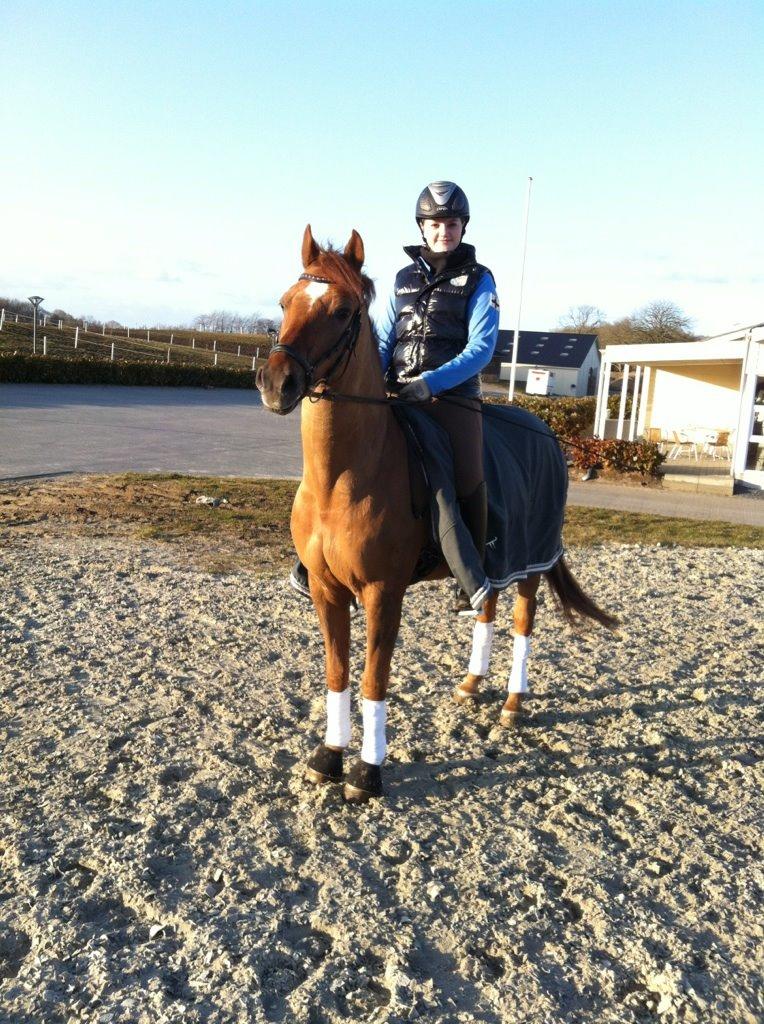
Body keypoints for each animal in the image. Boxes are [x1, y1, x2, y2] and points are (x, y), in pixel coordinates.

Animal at [257, 226, 617, 803]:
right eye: (286, 302)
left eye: (341, 310)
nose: (276, 383)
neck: (343, 478)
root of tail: (544, 430)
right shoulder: (325, 589)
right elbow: (336, 674)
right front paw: (329, 757)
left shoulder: (383, 593)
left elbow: (373, 679)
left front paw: (367, 772)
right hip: (492, 564)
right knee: (486, 607)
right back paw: (472, 684)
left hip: (530, 563)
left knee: (523, 621)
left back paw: (512, 704)